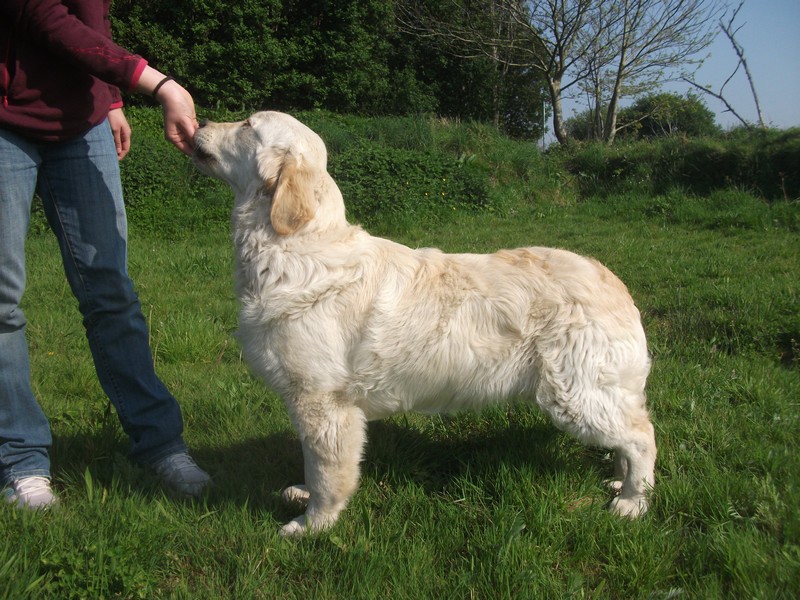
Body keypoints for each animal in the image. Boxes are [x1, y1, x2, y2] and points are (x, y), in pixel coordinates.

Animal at [193, 111, 657, 536]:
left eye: (248, 125)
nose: (199, 123)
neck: (296, 248)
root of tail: (611, 278)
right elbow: (315, 466)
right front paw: (303, 496)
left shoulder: (322, 402)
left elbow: (327, 472)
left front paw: (312, 524)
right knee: (629, 435)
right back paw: (619, 482)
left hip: (574, 395)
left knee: (642, 437)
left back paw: (633, 501)